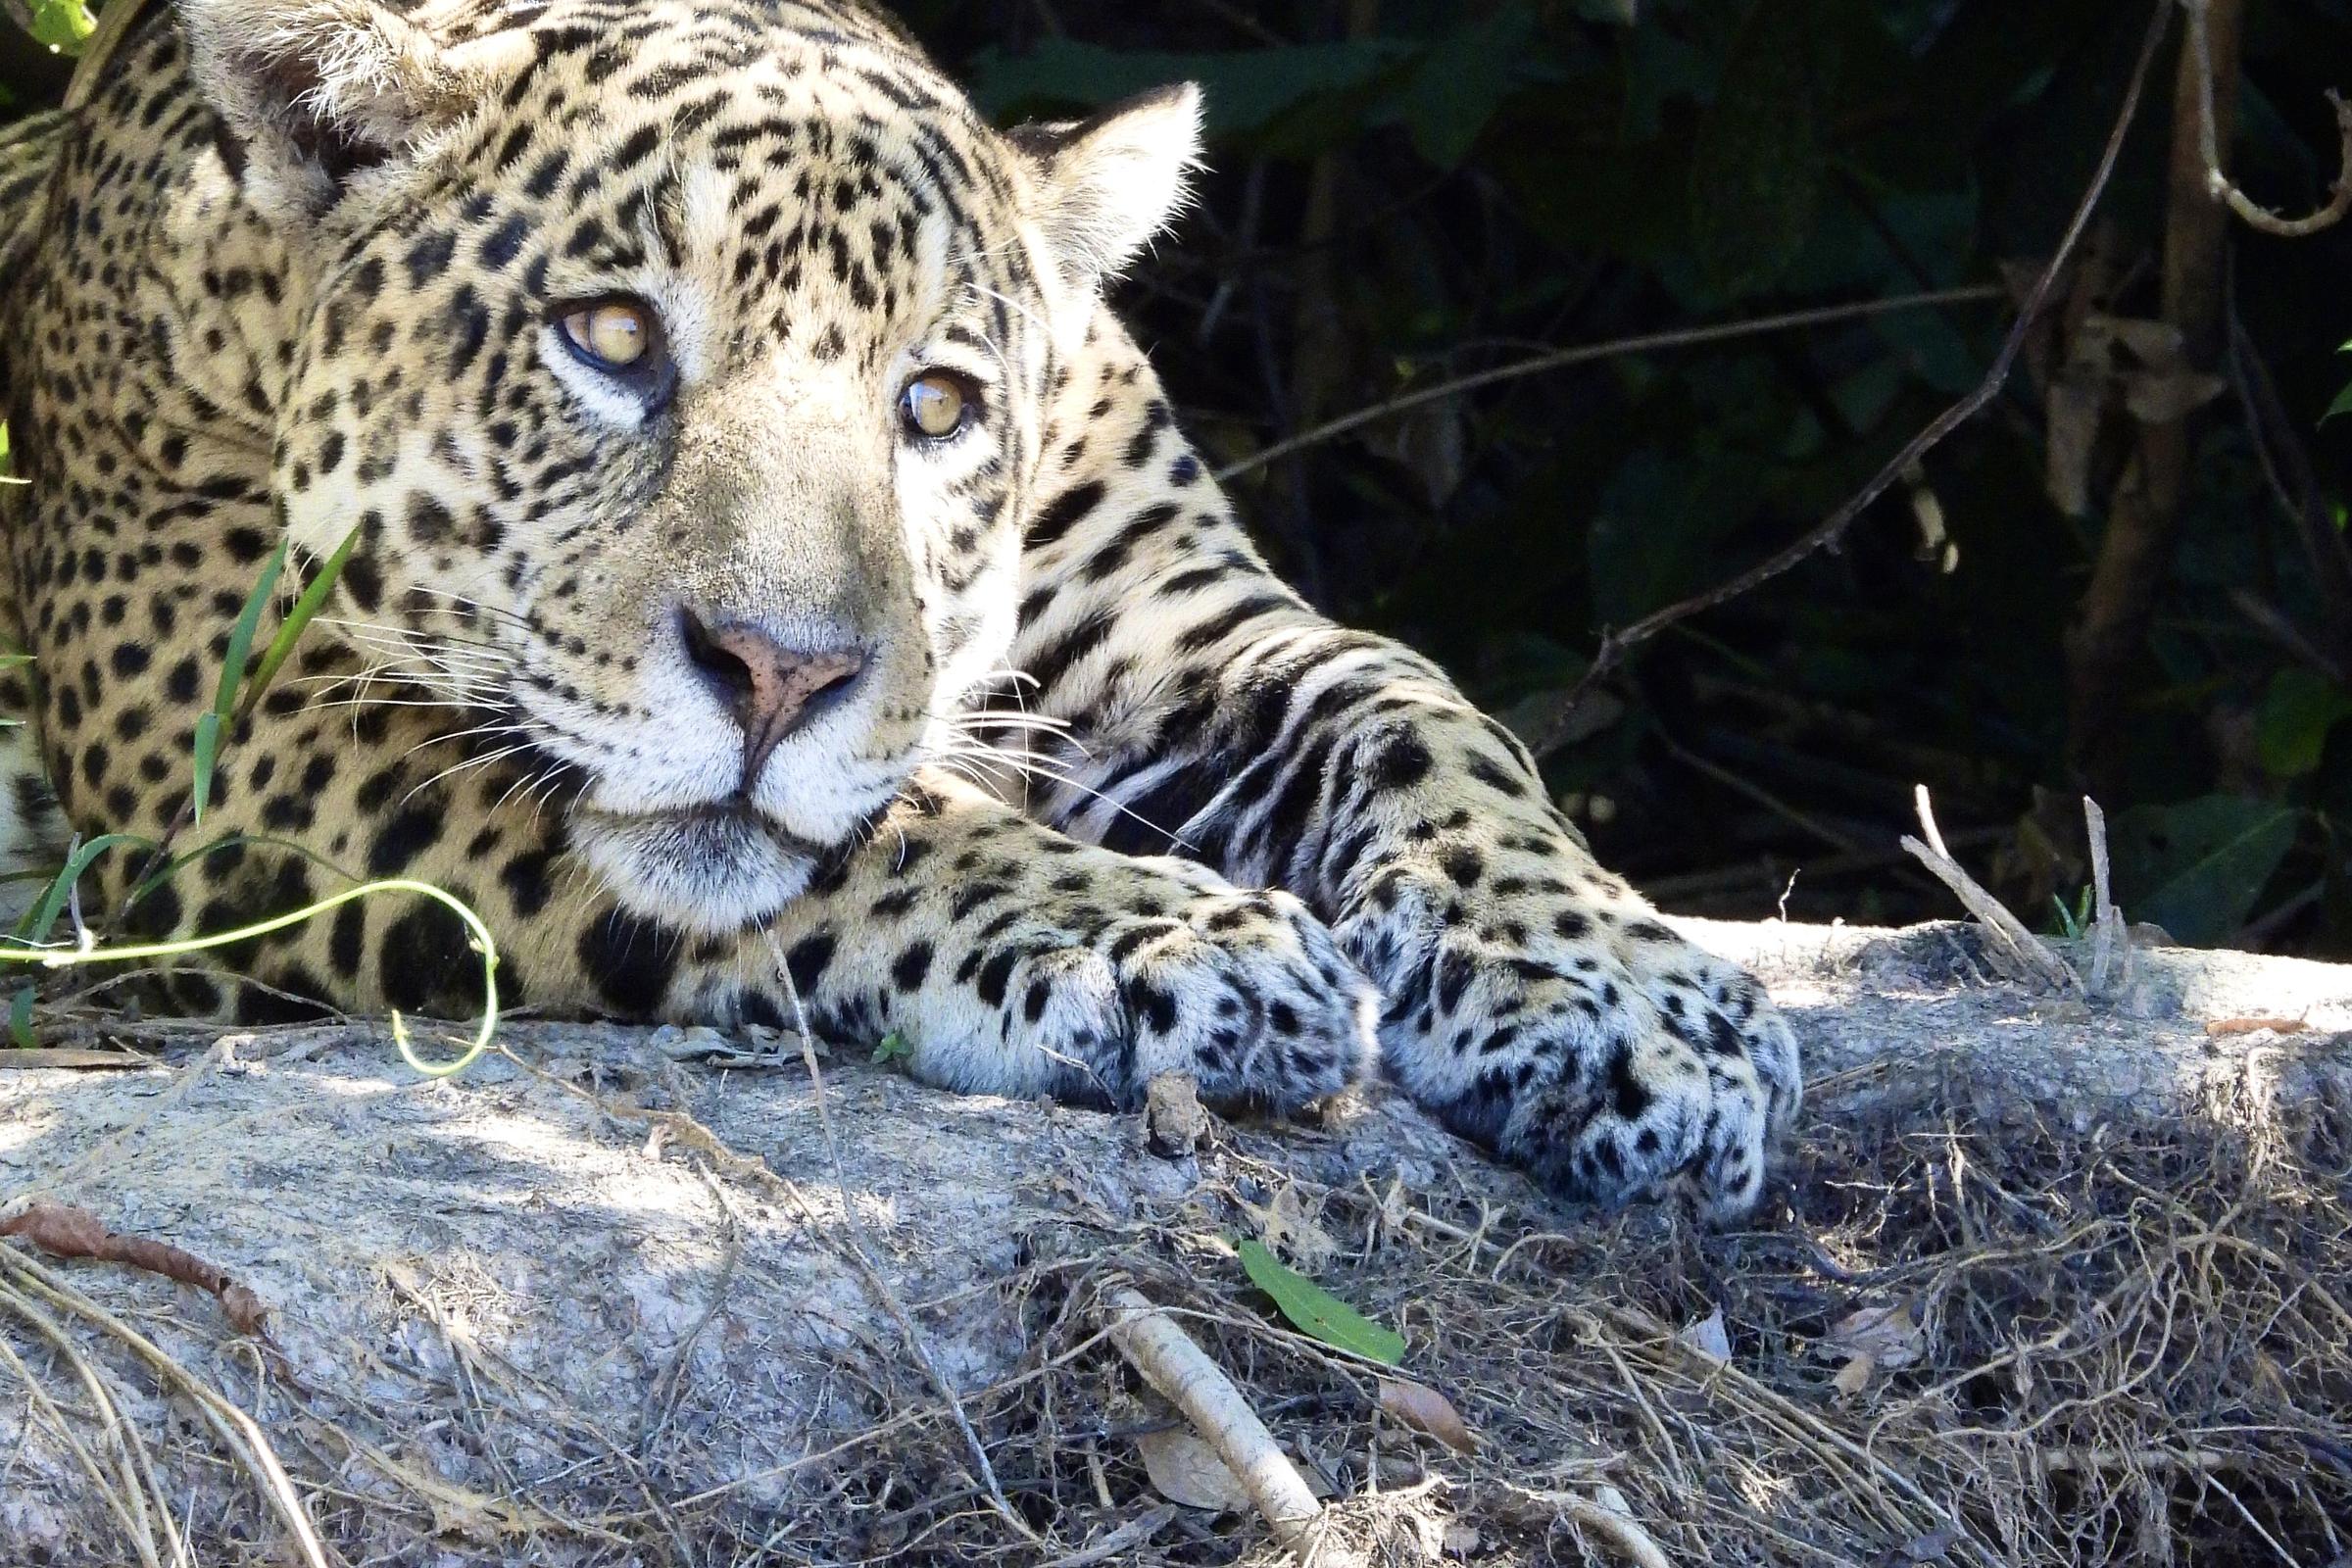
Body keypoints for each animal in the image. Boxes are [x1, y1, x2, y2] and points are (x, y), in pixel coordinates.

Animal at [0, 0, 1800, 1218]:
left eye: (934, 405)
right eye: (608, 336)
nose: (776, 678)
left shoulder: (1167, 626)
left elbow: (1422, 716)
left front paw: (1633, 1003)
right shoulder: (228, 714)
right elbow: (863, 838)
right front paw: (1167, 945)